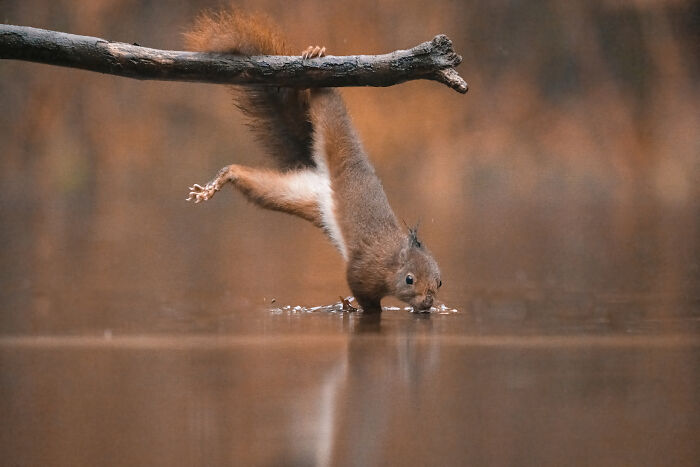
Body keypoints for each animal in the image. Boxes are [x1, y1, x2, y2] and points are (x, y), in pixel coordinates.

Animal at [184, 10, 442, 313]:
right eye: (409, 279)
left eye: (440, 282)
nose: (427, 303)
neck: (390, 257)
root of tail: (320, 173)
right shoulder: (363, 269)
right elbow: (363, 296)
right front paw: (353, 307)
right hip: (332, 127)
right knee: (324, 95)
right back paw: (316, 55)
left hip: (297, 194)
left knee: (251, 180)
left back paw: (224, 176)